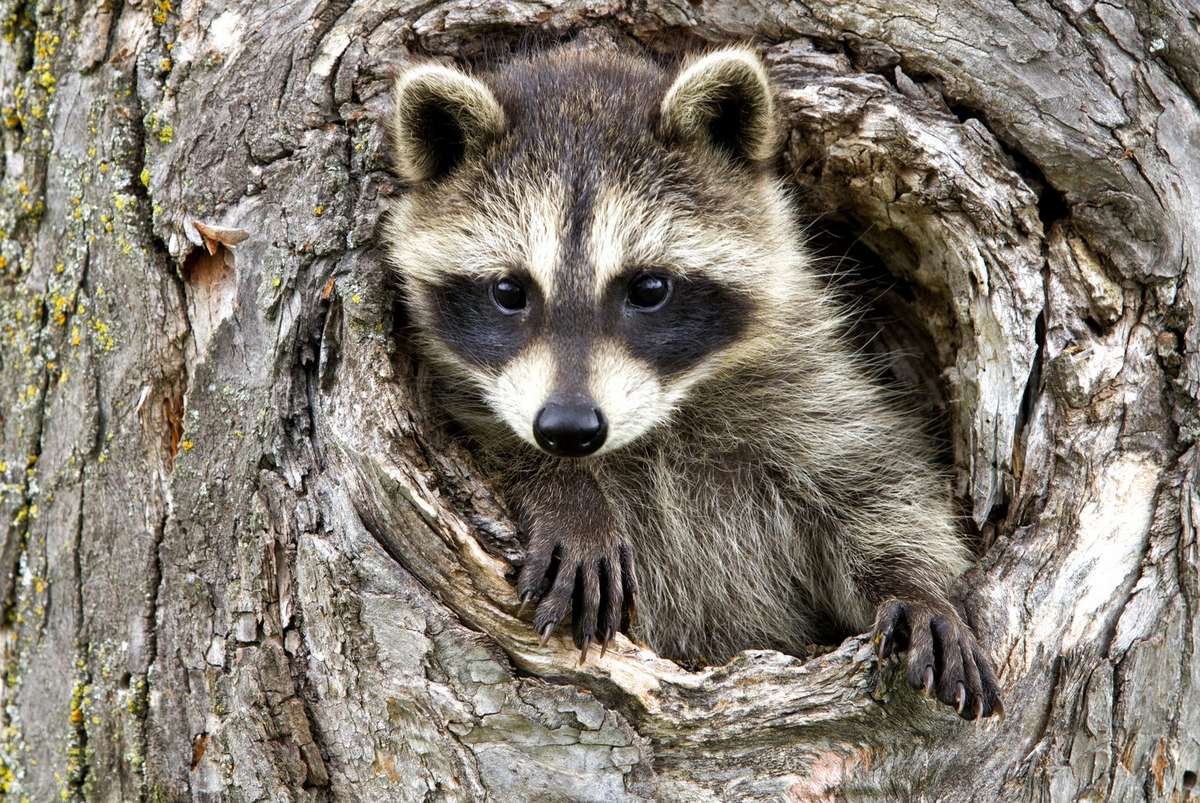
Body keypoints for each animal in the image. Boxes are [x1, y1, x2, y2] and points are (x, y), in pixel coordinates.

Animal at [385, 46, 1003, 719]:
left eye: (649, 288)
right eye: (508, 291)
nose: (568, 430)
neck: (658, 426)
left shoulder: (807, 382)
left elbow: (875, 482)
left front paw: (919, 587)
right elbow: (476, 431)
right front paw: (567, 492)